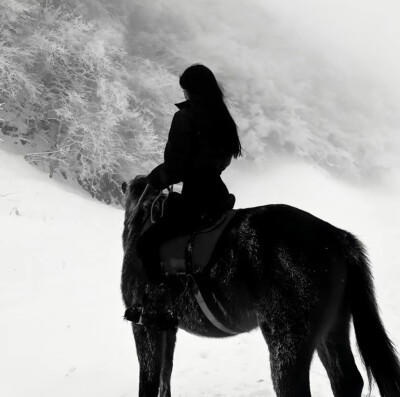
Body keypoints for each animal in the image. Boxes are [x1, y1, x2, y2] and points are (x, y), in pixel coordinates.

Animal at [120, 176, 400, 396]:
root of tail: (335, 236)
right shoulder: (167, 327)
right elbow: (165, 377)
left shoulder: (144, 326)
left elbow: (149, 379)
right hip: (331, 331)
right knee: (346, 381)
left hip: (286, 343)